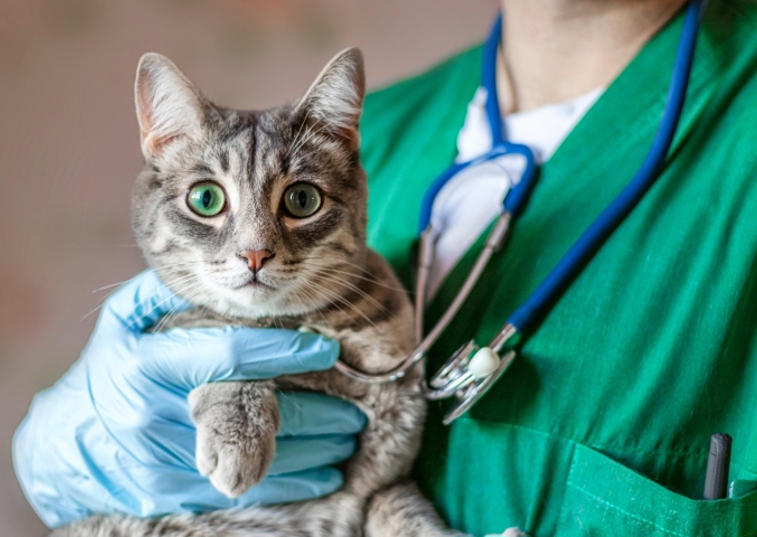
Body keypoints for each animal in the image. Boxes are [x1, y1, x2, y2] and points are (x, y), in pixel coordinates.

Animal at [51, 50, 460, 536]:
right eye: (205, 199)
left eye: (303, 200)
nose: (254, 254)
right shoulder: (177, 329)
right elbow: (221, 339)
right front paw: (239, 432)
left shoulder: (381, 485)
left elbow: (404, 515)